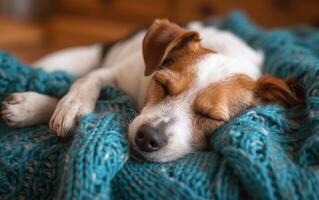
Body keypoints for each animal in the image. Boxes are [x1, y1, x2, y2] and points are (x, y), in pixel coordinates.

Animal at [1, 19, 306, 162]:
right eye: (162, 84)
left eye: (211, 117)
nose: (147, 138)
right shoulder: (116, 73)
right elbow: (85, 81)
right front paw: (66, 106)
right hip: (63, 60)